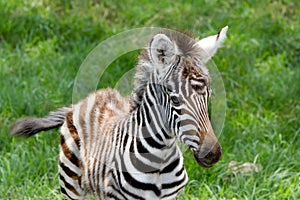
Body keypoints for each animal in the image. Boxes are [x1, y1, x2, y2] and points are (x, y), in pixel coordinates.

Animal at [10, 25, 229, 199]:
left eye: (208, 96)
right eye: (175, 100)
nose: (212, 154)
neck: (159, 161)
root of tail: (86, 99)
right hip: (71, 186)